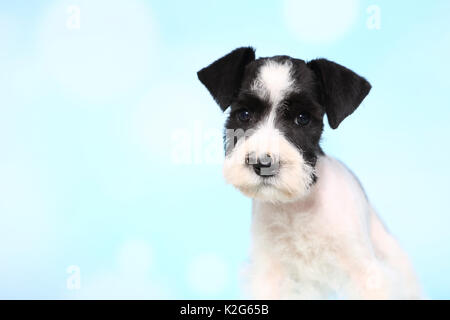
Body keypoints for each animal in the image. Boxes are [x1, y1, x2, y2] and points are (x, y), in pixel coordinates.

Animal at [197, 47, 422, 300]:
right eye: (244, 114)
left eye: (302, 118)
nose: (264, 163)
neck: (297, 206)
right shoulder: (269, 275)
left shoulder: (366, 274)